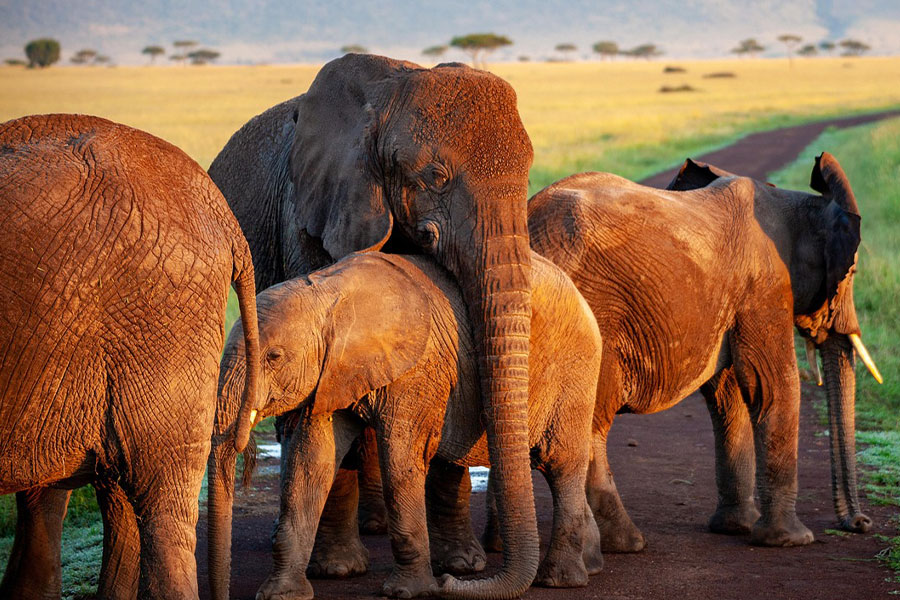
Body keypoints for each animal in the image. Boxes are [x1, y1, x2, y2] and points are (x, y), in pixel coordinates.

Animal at [207, 53, 539, 596]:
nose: (452, 585)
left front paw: (462, 566)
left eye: (529, 175)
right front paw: (338, 569)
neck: (390, 94)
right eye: (436, 176)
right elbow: (319, 405)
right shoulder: (310, 216)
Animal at [208, 251, 604, 599]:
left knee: (561, 462)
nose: (447, 586)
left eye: (274, 357)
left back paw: (558, 580)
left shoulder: (414, 372)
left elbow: (400, 459)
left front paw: (407, 592)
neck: (327, 292)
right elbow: (310, 464)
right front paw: (281, 595)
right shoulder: (330, 374)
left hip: (576, 367)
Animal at [517, 152, 877, 552]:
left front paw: (736, 527)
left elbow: (728, 395)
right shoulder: (765, 288)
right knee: (588, 420)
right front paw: (791, 541)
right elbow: (773, 385)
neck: (793, 202)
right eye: (853, 271)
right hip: (593, 314)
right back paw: (624, 543)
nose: (860, 524)